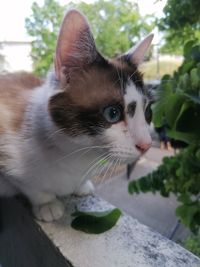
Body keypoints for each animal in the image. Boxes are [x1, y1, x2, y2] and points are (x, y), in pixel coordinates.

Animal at [0, 9, 153, 222]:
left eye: (147, 112)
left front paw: (81, 186)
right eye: (112, 113)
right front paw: (47, 204)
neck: (77, 154)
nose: (147, 145)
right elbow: (32, 187)